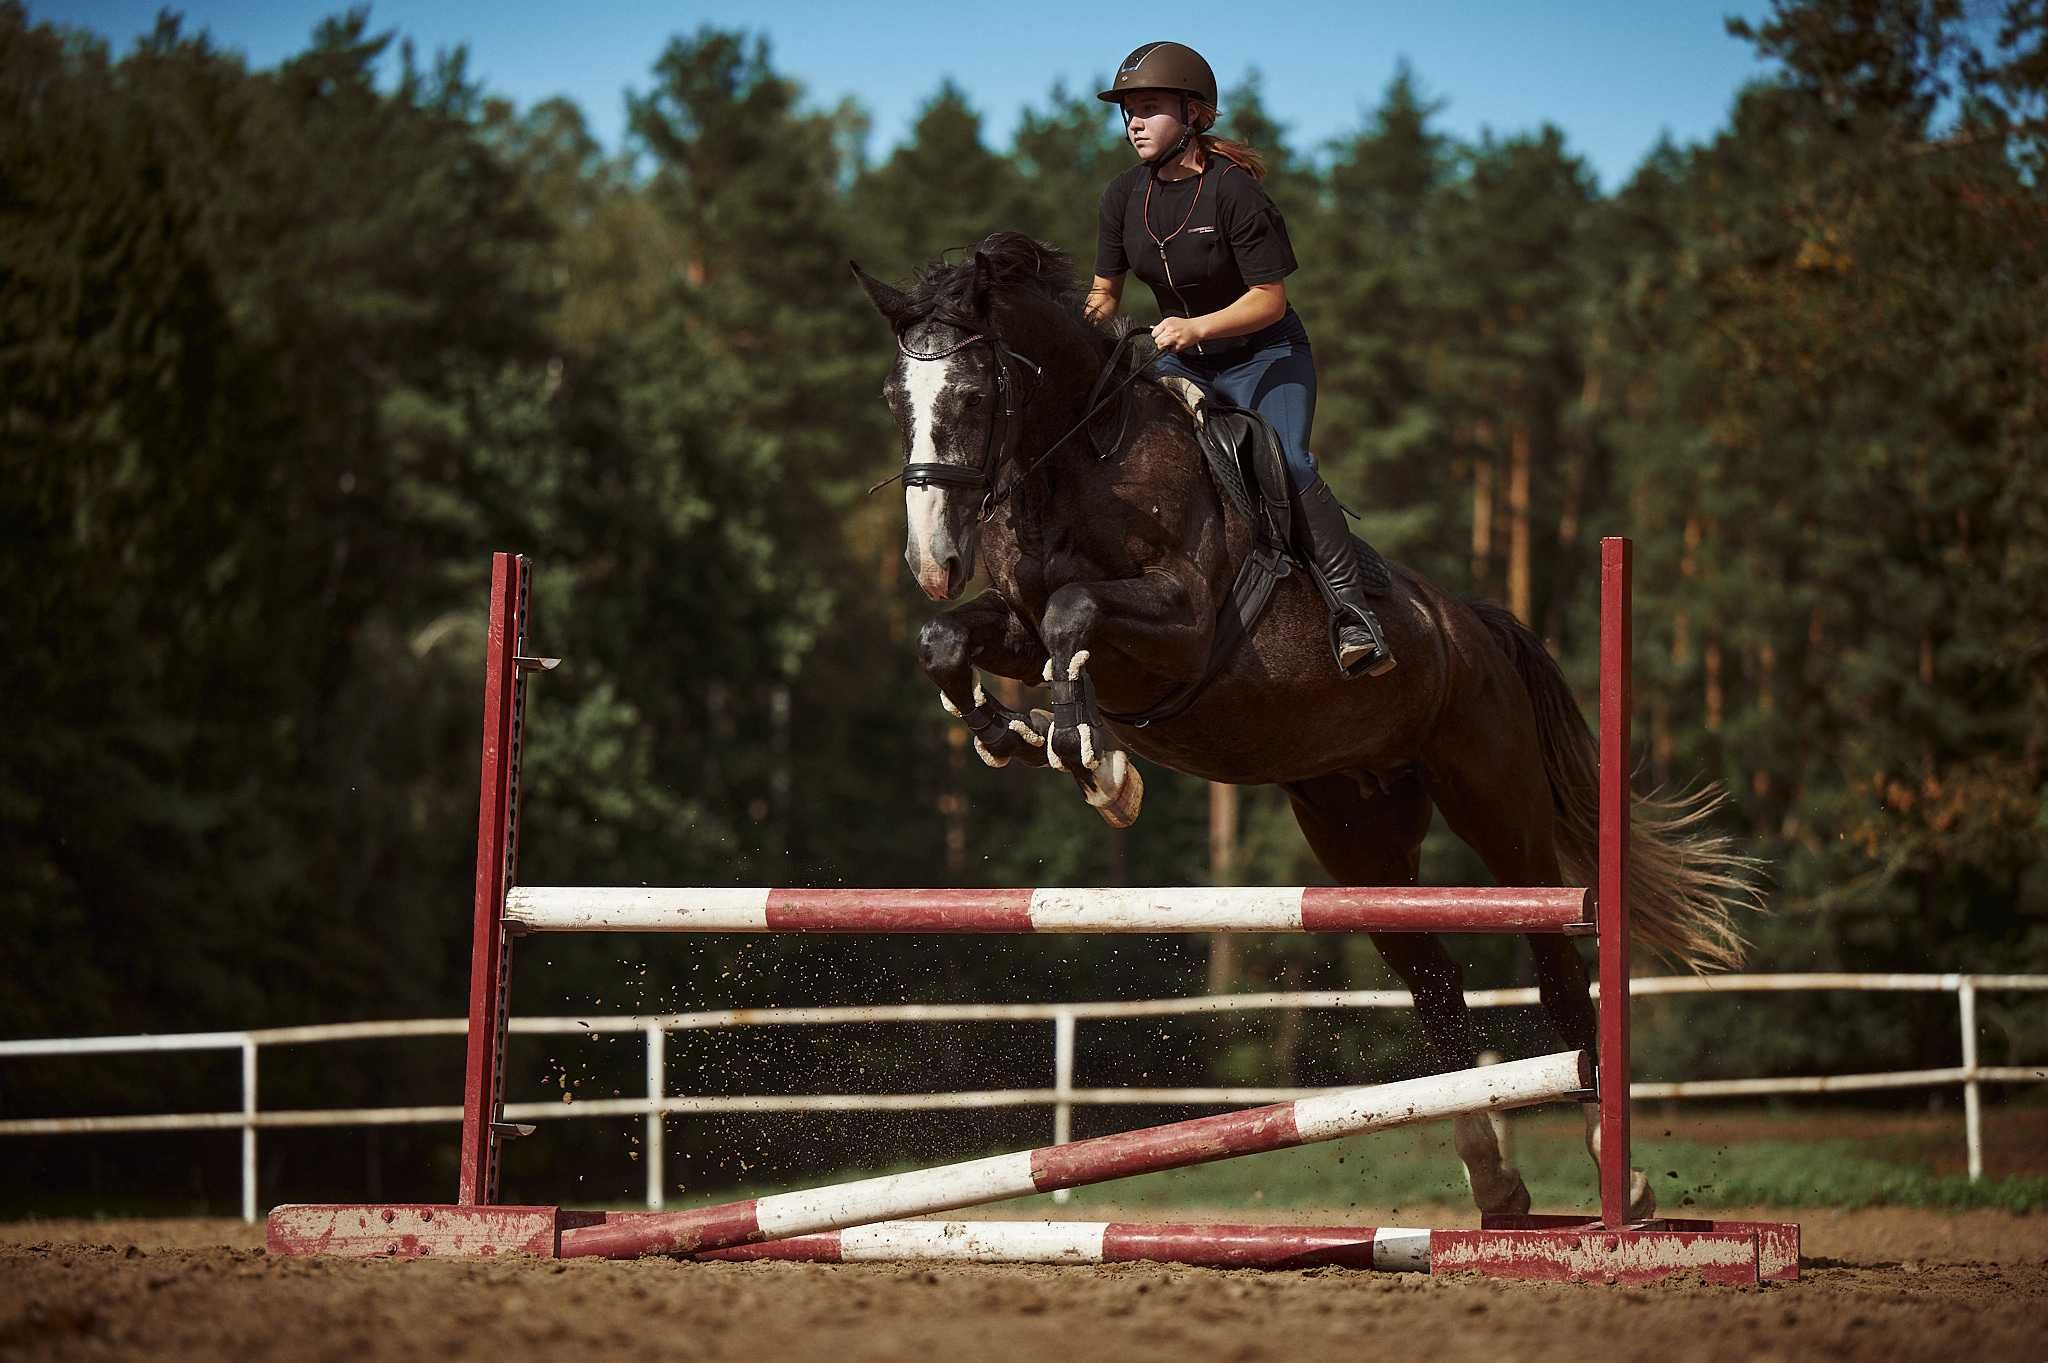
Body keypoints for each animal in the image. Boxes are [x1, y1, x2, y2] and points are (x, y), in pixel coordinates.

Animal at [847, 228, 1761, 1211]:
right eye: (895, 398)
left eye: (973, 396)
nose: (932, 561)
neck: (1080, 462)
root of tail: (1475, 623)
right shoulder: (1014, 625)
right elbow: (952, 638)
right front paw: (1012, 735)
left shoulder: (1181, 625)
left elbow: (1072, 617)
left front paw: (1099, 767)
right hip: (1356, 837)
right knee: (1434, 983)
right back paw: (1494, 1182)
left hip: (1496, 804)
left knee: (1554, 965)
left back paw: (1615, 1177)